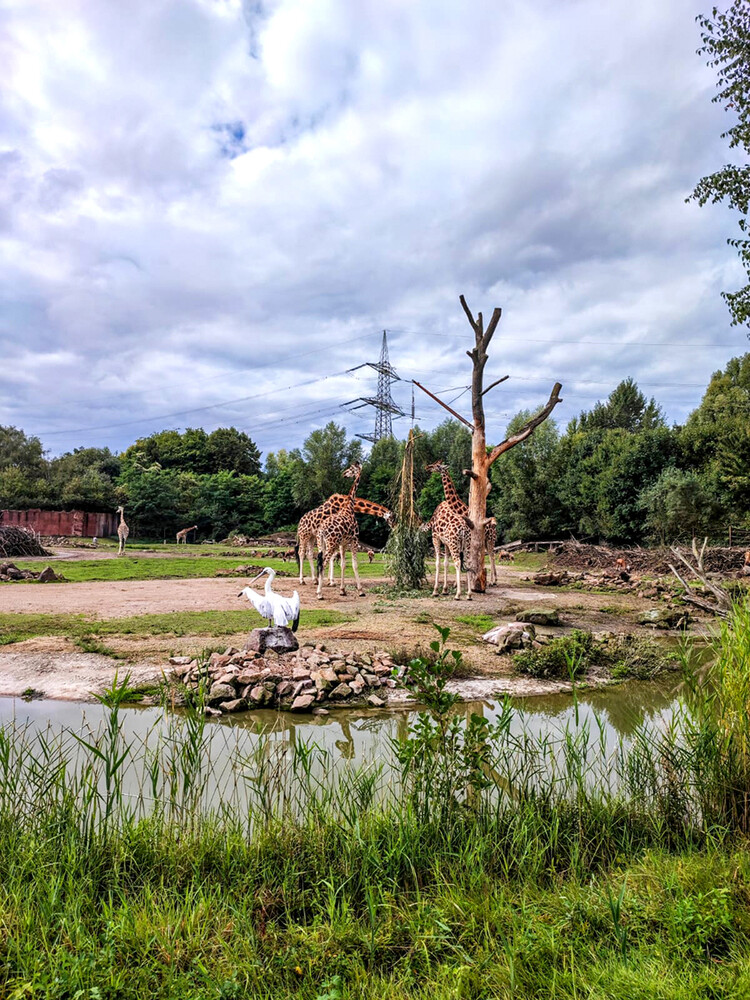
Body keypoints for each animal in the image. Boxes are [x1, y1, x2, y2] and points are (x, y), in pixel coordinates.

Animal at [314, 464, 368, 596]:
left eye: (351, 469)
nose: (344, 474)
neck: (349, 507)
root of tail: (322, 530)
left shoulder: (343, 544)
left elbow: (343, 564)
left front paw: (342, 590)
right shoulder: (354, 540)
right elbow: (354, 564)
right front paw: (360, 590)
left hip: (321, 543)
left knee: (319, 562)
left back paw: (319, 589)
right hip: (331, 543)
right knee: (323, 563)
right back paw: (319, 593)